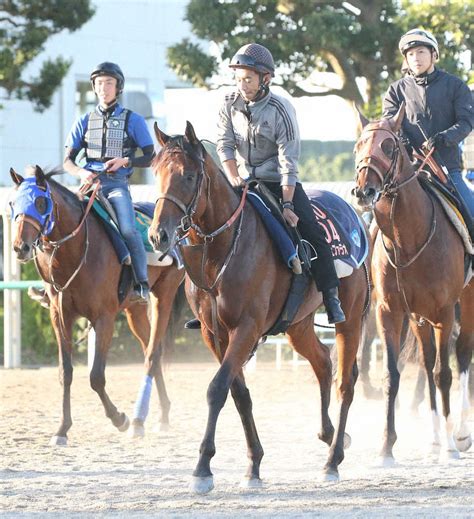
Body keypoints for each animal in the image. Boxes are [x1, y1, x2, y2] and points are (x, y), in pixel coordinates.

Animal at [10, 169, 185, 444]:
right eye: (13, 204)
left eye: (39, 202)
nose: (20, 247)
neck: (77, 251)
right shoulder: (60, 317)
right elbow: (65, 373)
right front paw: (62, 429)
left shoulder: (104, 319)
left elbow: (95, 377)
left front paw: (120, 418)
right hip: (134, 310)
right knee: (151, 350)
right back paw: (161, 414)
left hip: (163, 296)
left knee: (153, 351)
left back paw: (146, 419)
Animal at [148, 123, 370, 496]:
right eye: (156, 174)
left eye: (189, 176)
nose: (158, 235)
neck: (221, 253)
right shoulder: (214, 334)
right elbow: (239, 394)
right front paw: (253, 465)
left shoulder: (247, 328)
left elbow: (217, 389)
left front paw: (202, 468)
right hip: (298, 325)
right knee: (323, 363)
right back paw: (328, 436)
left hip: (351, 319)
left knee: (346, 382)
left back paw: (333, 459)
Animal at [354, 105, 472, 464]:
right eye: (358, 145)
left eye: (388, 146)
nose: (363, 190)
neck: (410, 239)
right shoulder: (390, 312)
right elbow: (393, 374)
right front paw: (386, 445)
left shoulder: (445, 312)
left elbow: (443, 374)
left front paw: (450, 447)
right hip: (419, 319)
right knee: (428, 362)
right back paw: (434, 439)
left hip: (465, 305)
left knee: (462, 356)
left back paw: (460, 433)